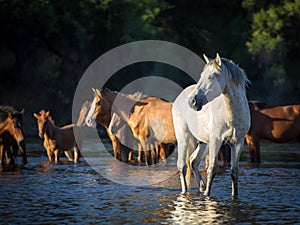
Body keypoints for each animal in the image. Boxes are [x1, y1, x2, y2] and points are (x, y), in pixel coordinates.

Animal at [172, 53, 250, 197]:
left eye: (212, 76)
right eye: (202, 75)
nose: (192, 101)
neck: (232, 116)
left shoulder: (238, 143)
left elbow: (234, 173)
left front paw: (234, 195)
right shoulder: (216, 140)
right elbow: (212, 169)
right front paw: (207, 195)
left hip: (203, 142)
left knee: (194, 161)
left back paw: (201, 187)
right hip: (183, 138)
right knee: (182, 166)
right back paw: (185, 192)